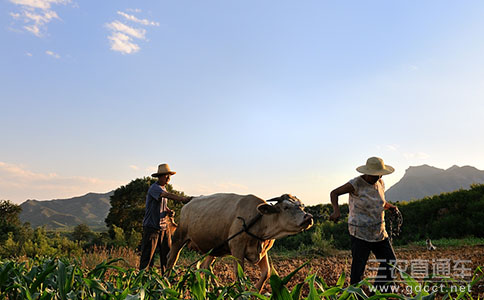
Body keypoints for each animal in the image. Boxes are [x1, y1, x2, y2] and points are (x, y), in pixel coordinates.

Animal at [166, 195, 314, 290]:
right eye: (286, 207)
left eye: (302, 206)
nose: (308, 217)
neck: (260, 222)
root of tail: (188, 203)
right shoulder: (237, 248)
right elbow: (239, 275)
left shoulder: (263, 251)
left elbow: (266, 273)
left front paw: (254, 291)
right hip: (179, 238)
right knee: (171, 260)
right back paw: (165, 283)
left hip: (214, 248)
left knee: (205, 266)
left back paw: (217, 288)